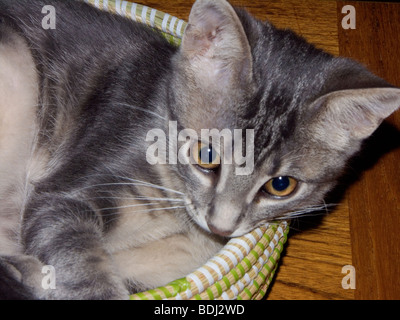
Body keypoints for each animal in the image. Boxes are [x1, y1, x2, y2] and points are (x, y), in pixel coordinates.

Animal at [0, 0, 398, 300]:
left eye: (281, 185)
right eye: (206, 157)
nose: (221, 225)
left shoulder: (168, 266)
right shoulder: (63, 193)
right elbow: (78, 258)